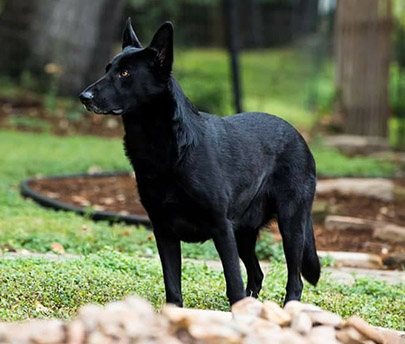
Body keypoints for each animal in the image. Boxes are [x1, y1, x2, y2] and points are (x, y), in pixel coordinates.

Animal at [79, 19, 318, 306]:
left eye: (125, 73)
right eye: (108, 69)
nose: (83, 96)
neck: (164, 147)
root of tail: (298, 136)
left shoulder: (221, 227)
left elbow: (233, 283)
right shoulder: (163, 230)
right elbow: (173, 285)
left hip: (290, 224)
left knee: (295, 279)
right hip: (244, 232)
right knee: (257, 273)